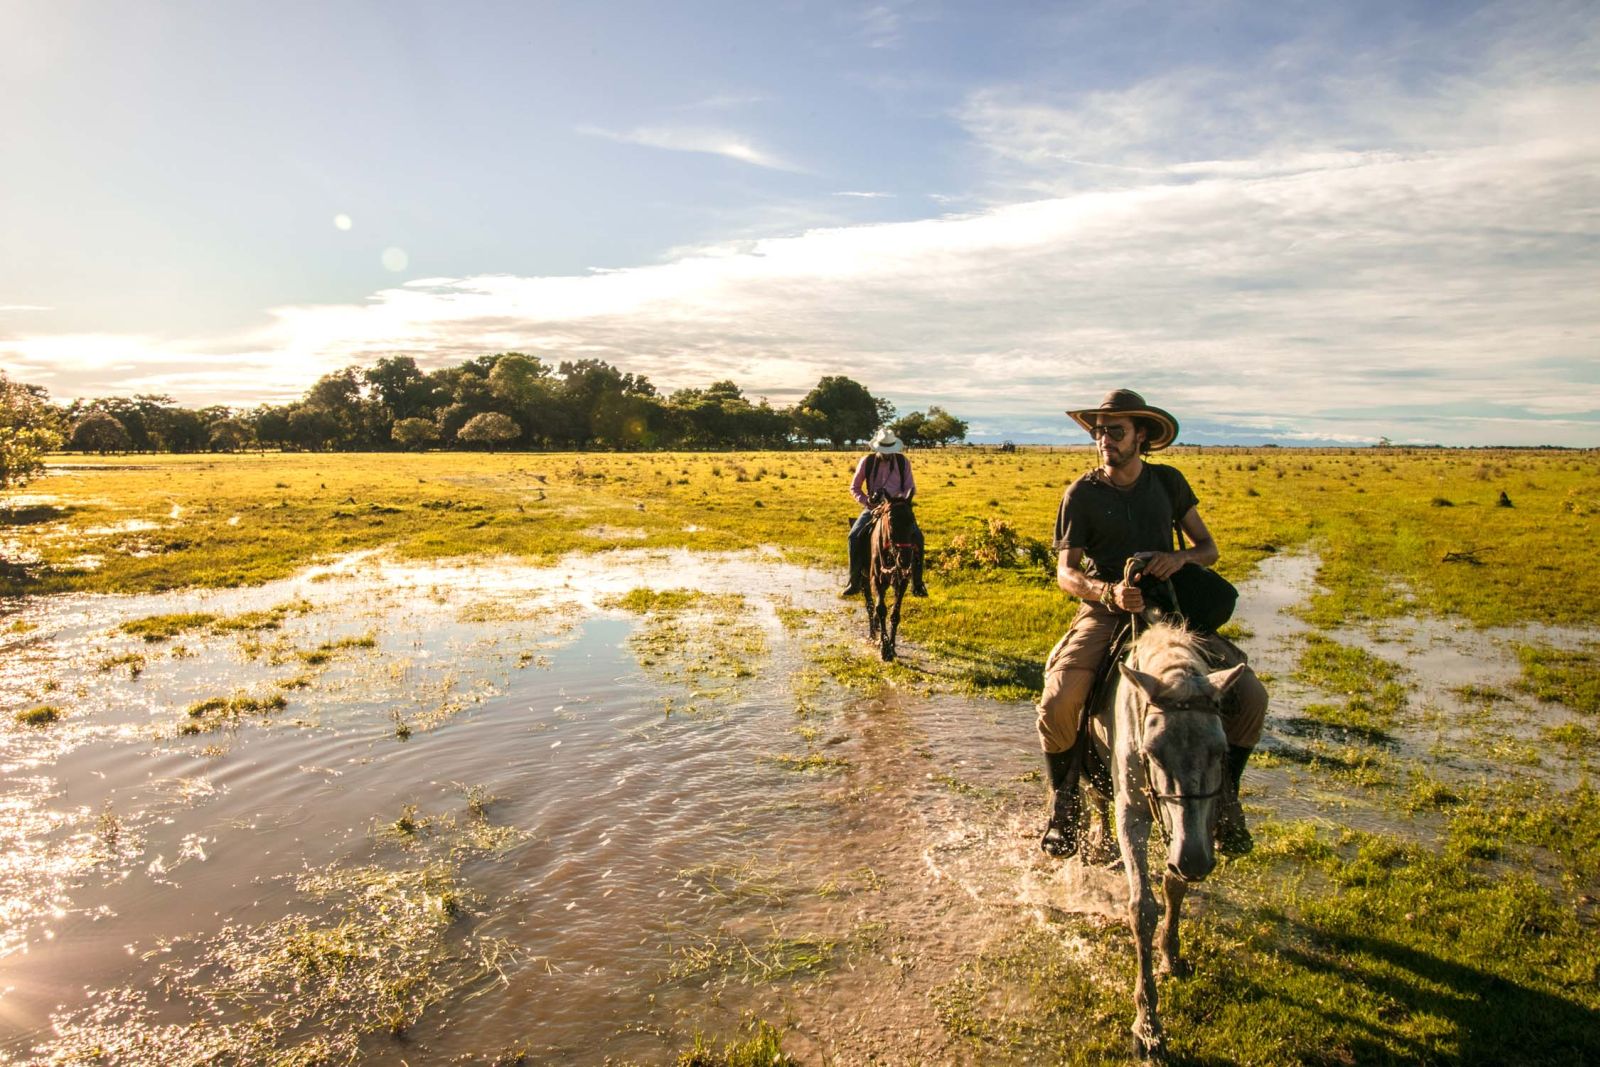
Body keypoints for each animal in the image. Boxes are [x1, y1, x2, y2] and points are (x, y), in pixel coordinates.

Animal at [870, 495, 921, 662]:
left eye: (912, 520)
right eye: (891, 520)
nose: (904, 560)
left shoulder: (902, 582)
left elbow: (894, 614)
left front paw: (892, 647)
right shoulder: (876, 580)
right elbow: (881, 609)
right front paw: (884, 648)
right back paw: (872, 633)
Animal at [1100, 620, 1248, 1062]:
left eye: (1221, 751)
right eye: (1152, 752)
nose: (1195, 862)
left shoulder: (1199, 826)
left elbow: (1174, 886)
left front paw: (1172, 955)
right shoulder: (1132, 814)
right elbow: (1142, 909)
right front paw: (1148, 1027)